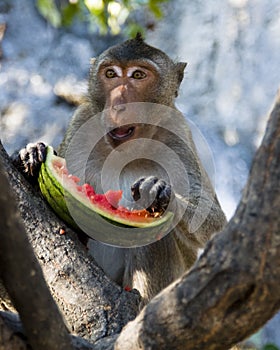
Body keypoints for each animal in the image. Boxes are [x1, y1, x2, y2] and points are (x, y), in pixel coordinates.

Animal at [13, 34, 228, 304]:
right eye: (111, 74)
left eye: (138, 75)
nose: (117, 103)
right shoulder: (82, 121)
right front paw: (29, 156)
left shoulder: (178, 133)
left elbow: (213, 226)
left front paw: (162, 194)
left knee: (154, 239)